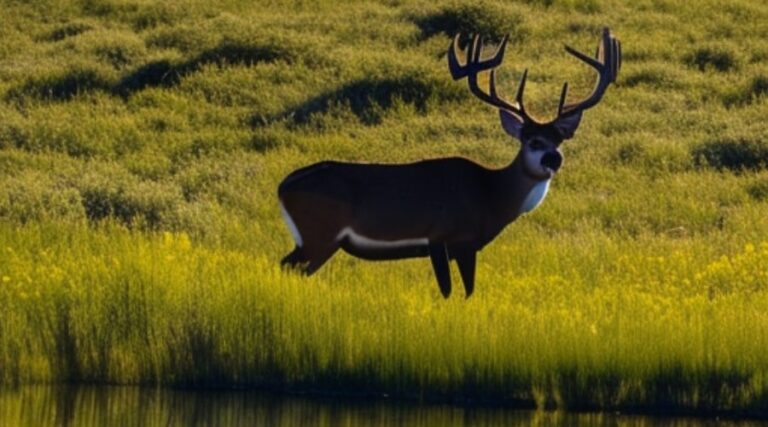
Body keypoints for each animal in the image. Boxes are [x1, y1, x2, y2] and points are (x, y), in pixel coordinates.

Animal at [276, 28, 616, 300]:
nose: (553, 159)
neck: (491, 194)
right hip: (320, 236)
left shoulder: (464, 246)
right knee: (288, 266)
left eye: (558, 140)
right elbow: (452, 291)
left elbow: (464, 291)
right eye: (531, 141)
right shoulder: (443, 237)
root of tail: (283, 187)